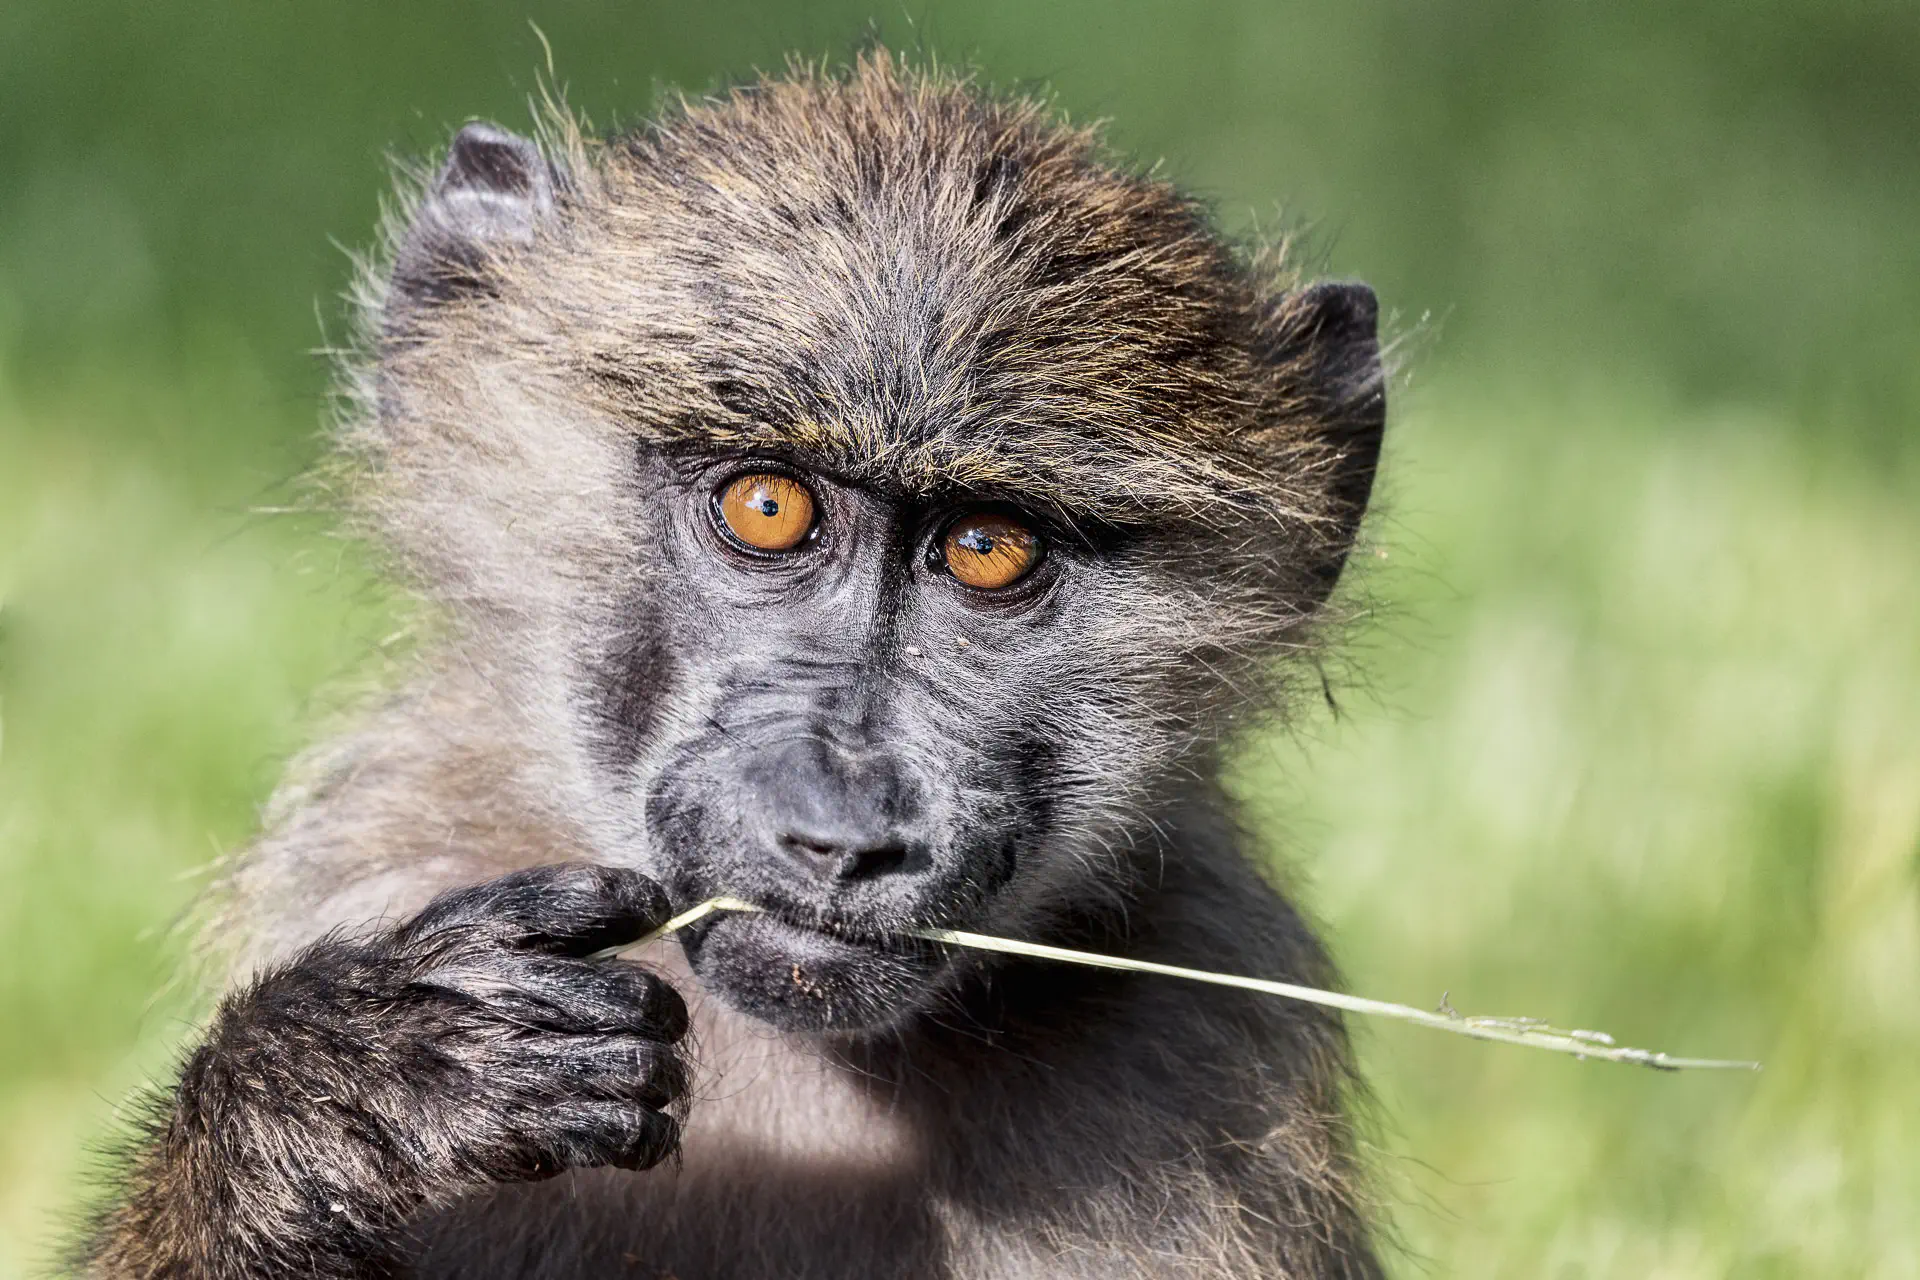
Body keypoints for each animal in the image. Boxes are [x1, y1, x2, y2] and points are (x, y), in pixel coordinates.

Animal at [76, 50, 1388, 1280]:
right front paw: (354, 1083)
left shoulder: (1190, 1036)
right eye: (768, 506)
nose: (847, 833)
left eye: (987, 548)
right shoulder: (398, 860)